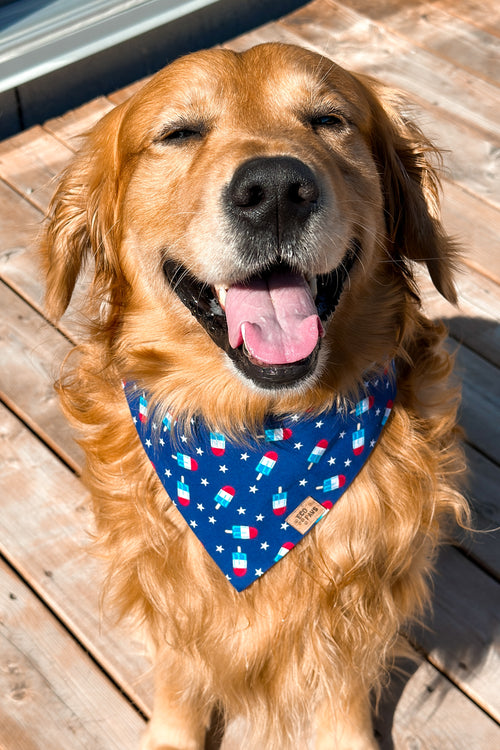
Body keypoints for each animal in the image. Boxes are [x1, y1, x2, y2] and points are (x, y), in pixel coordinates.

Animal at [42, 42, 468, 750]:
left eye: (330, 120)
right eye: (179, 132)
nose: (274, 191)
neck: (260, 433)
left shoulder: (357, 600)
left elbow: (342, 686)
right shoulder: (170, 591)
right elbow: (181, 677)